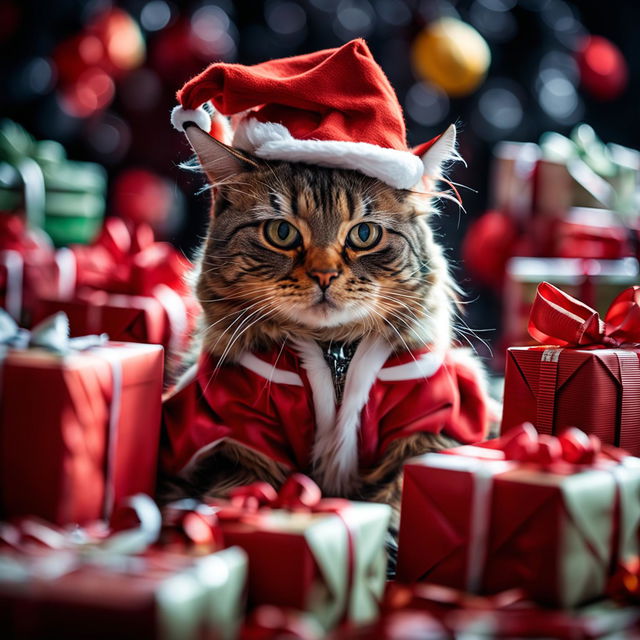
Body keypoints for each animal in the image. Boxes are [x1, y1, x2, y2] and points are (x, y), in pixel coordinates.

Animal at [161, 124, 490, 516]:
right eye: (281, 232)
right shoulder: (235, 428)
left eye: (364, 235)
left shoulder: (430, 418)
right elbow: (237, 491)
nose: (324, 275)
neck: (335, 354)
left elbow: (401, 499)